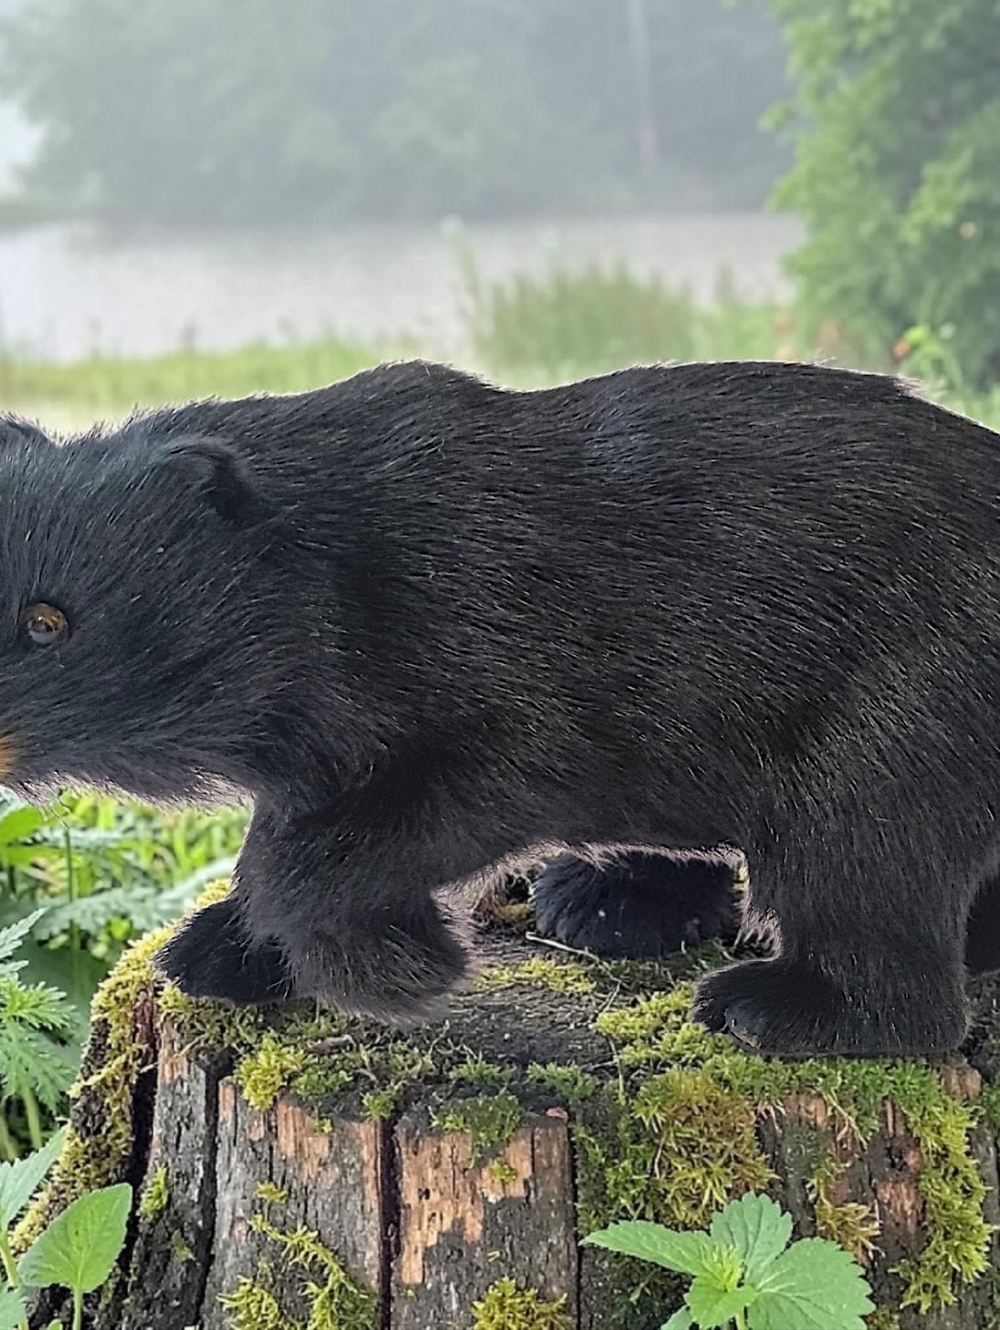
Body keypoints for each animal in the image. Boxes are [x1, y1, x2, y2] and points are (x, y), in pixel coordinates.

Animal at [1, 357, 999, 1059]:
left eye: (48, 621)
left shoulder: (508, 683)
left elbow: (357, 835)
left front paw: (397, 968)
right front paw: (234, 949)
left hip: (897, 708)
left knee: (865, 866)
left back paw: (778, 1002)